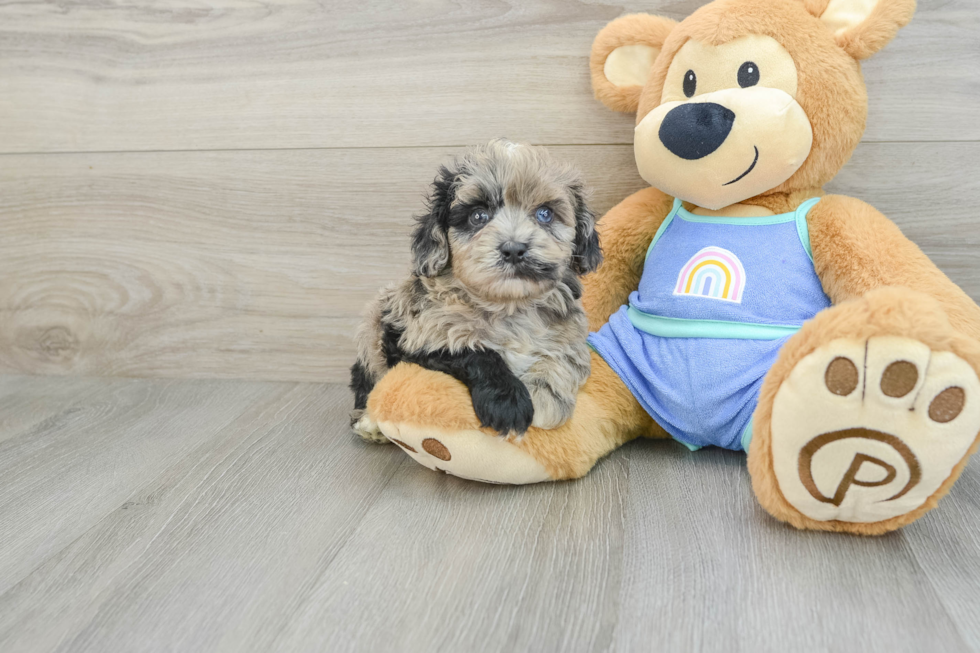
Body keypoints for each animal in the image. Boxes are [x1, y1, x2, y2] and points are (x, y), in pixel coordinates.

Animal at [348, 139, 600, 440]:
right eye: (478, 216)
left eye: (545, 214)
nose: (513, 249)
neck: (508, 306)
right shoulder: (418, 336)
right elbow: (474, 352)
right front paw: (508, 403)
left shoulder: (569, 333)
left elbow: (565, 357)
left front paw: (546, 394)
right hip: (372, 333)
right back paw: (369, 423)